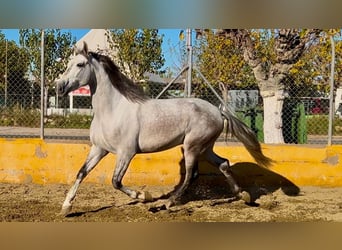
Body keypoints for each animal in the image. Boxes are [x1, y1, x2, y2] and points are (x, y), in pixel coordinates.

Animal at [54, 42, 272, 216]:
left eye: (80, 64)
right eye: (67, 64)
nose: (60, 87)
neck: (112, 110)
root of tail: (218, 112)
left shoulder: (126, 152)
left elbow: (116, 181)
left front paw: (145, 196)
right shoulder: (99, 149)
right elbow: (81, 173)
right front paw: (66, 207)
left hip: (192, 147)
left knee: (192, 175)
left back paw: (166, 204)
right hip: (205, 147)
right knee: (224, 164)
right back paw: (244, 196)